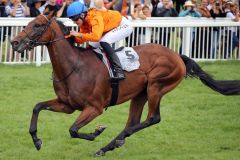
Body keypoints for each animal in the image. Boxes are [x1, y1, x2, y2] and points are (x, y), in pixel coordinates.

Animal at [11, 12, 240, 156]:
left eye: (37, 25)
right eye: (29, 22)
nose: (14, 42)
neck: (74, 67)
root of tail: (177, 56)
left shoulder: (94, 108)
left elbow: (73, 130)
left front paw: (96, 132)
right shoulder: (67, 105)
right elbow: (37, 107)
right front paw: (36, 140)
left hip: (157, 86)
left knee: (153, 118)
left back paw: (112, 142)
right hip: (140, 93)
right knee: (133, 122)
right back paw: (110, 146)